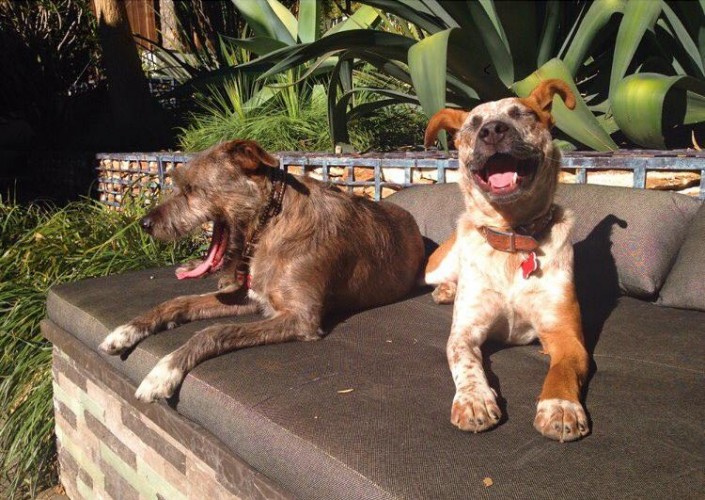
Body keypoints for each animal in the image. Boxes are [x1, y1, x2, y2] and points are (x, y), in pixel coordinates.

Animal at [100, 139, 425, 402]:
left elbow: (215, 331)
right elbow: (179, 302)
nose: (144, 224)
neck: (272, 223)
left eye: (191, 190)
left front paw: (164, 371)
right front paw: (126, 331)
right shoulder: (251, 296)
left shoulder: (300, 318)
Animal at [423, 80, 590, 442]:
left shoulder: (565, 335)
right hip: (438, 265)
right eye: (473, 124)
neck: (513, 238)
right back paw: (445, 290)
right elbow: (466, 363)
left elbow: (562, 372)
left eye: (523, 114)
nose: (492, 130)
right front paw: (474, 400)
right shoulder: (465, 332)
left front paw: (560, 407)